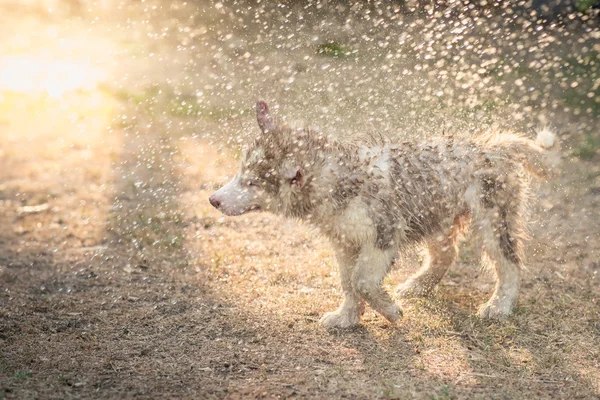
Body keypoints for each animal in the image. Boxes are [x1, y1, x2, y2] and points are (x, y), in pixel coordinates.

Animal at [211, 101, 556, 328]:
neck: (337, 181)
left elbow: (362, 280)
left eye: (252, 182)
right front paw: (347, 317)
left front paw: (389, 311)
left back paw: (499, 306)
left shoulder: (384, 234)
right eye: (241, 172)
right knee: (446, 254)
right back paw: (418, 286)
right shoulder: (344, 242)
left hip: (492, 218)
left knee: (510, 264)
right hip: (434, 213)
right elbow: (348, 282)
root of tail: (495, 145)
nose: (213, 200)